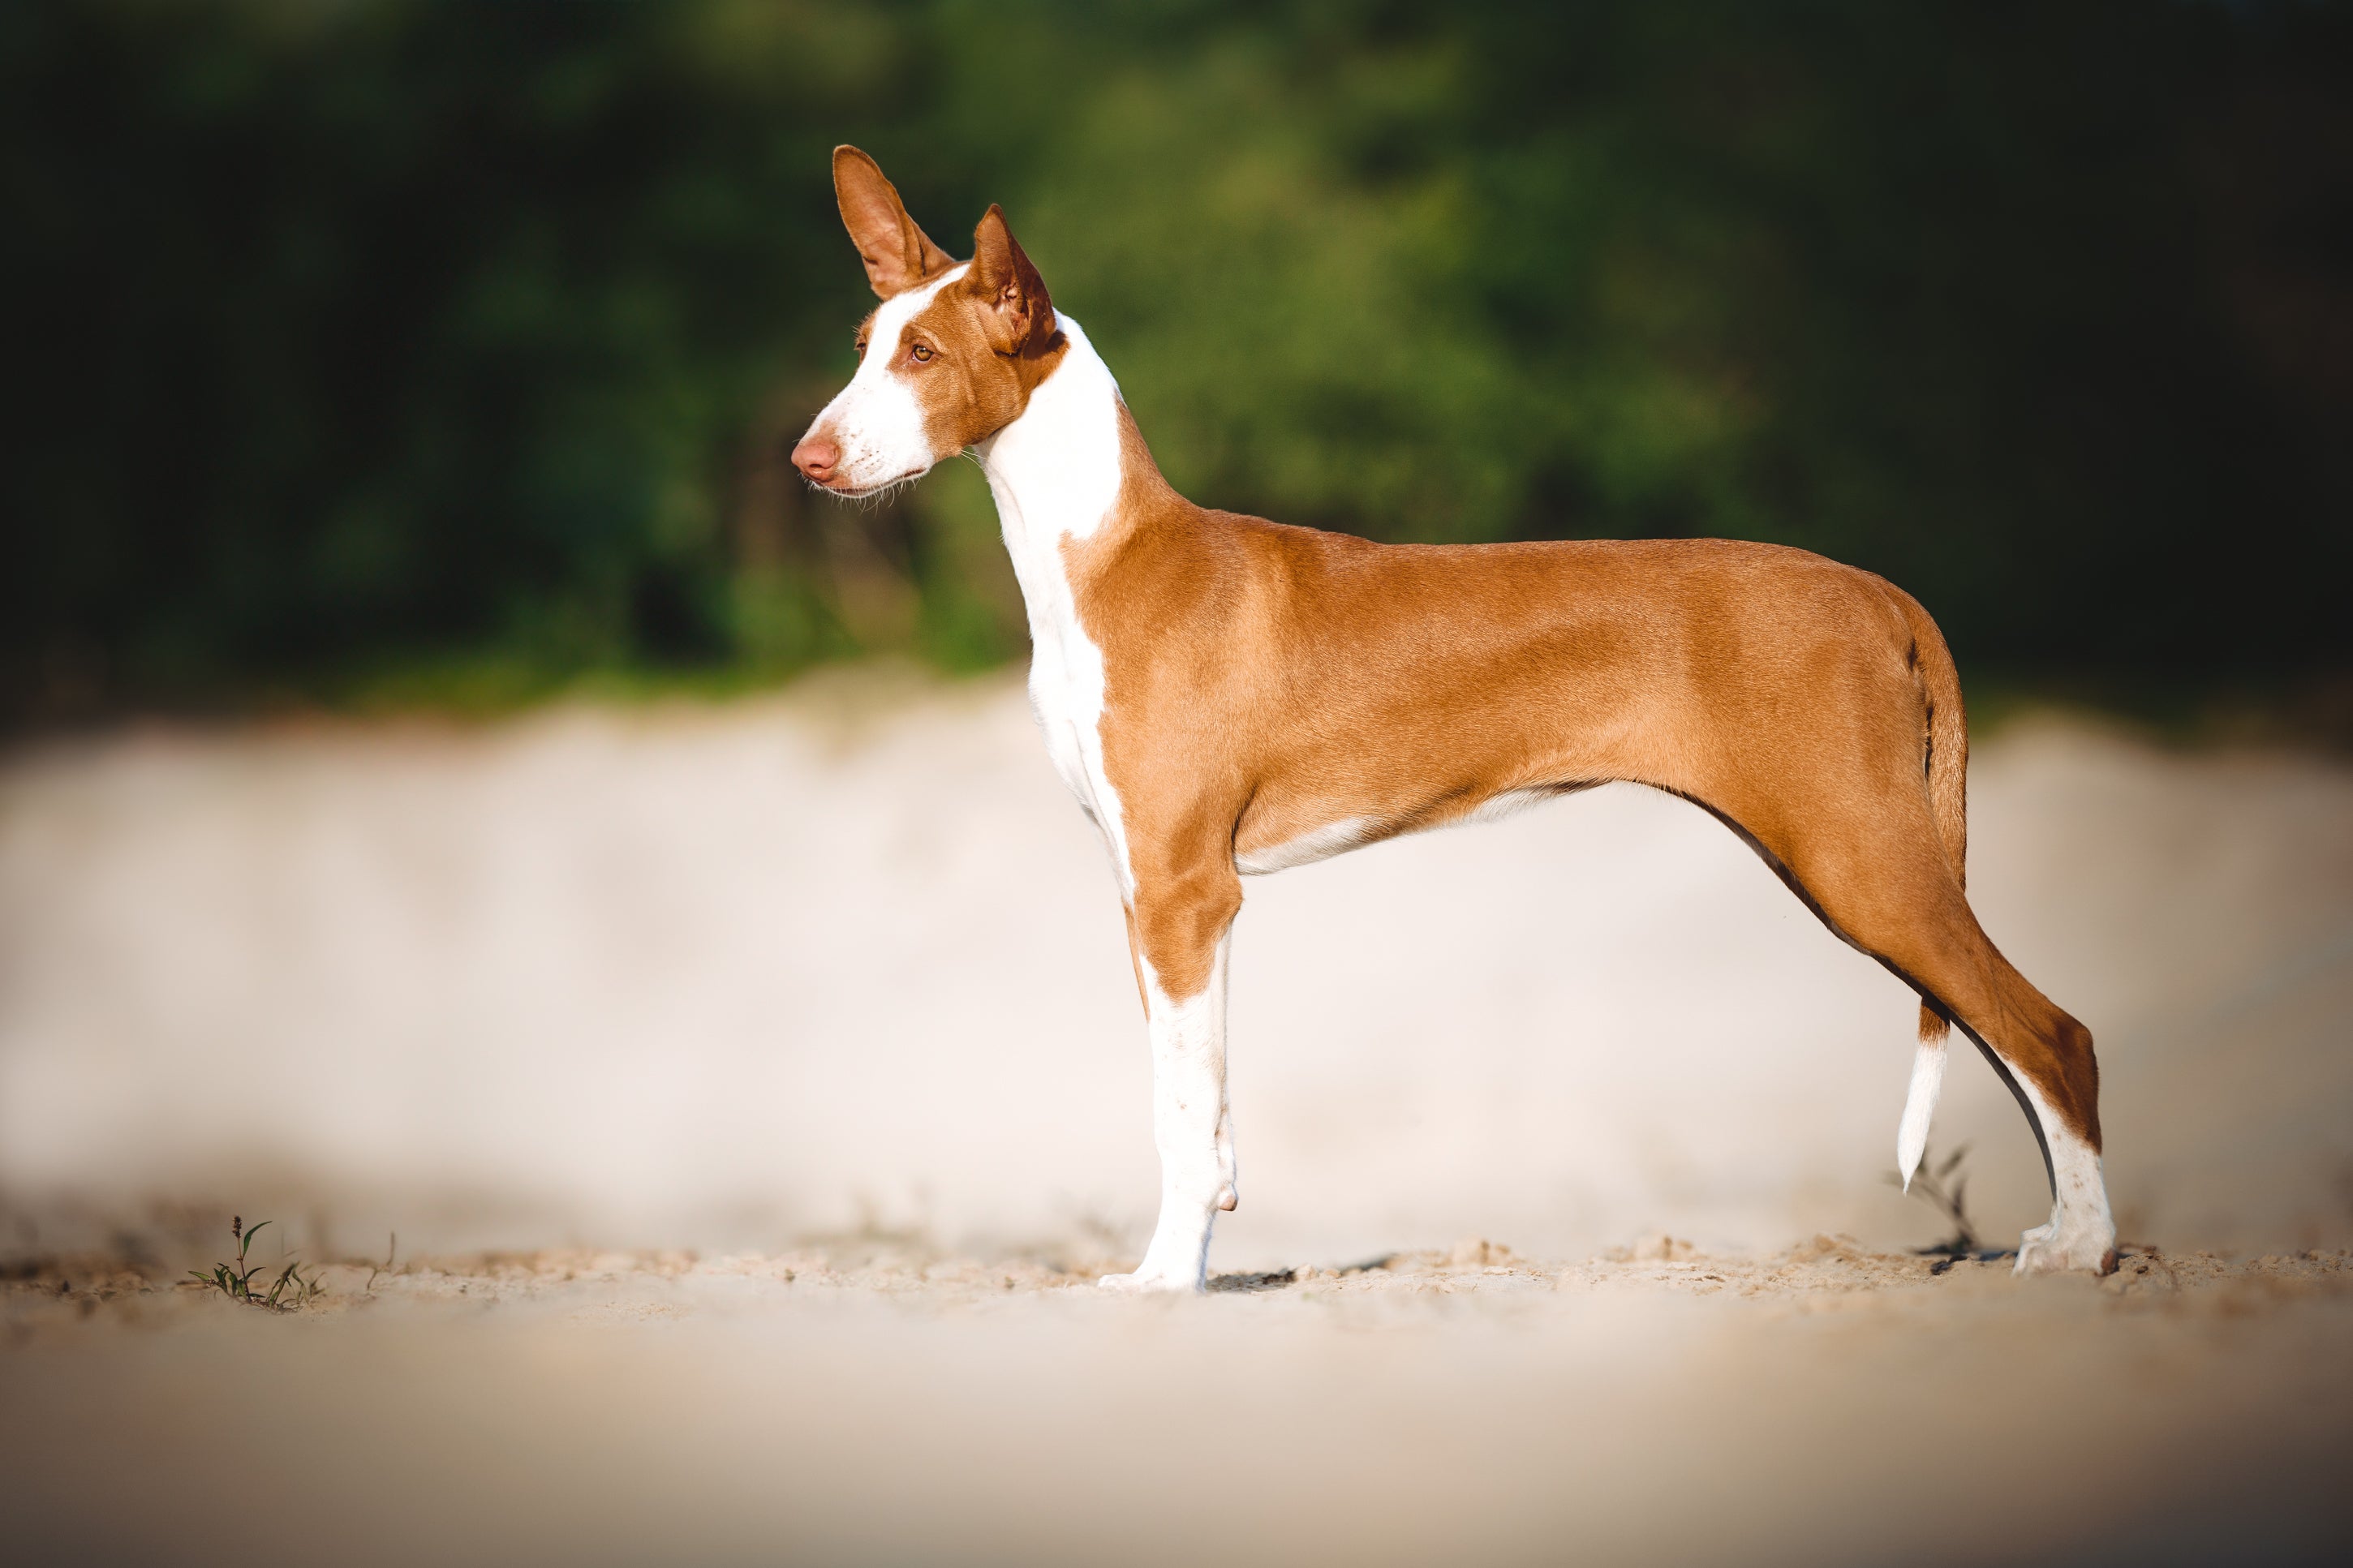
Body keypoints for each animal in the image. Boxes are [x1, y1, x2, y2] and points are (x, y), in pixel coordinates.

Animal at [800, 147, 2127, 1288]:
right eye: (864, 344)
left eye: (924, 352)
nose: (809, 459)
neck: (1106, 557)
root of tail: (1878, 589)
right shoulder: (1149, 892)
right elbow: (1204, 1108)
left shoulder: (1185, 889)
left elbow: (1177, 1115)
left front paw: (1163, 1282)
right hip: (1860, 858)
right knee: (2013, 1042)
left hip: (1859, 855)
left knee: (2054, 1034)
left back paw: (2084, 1250)